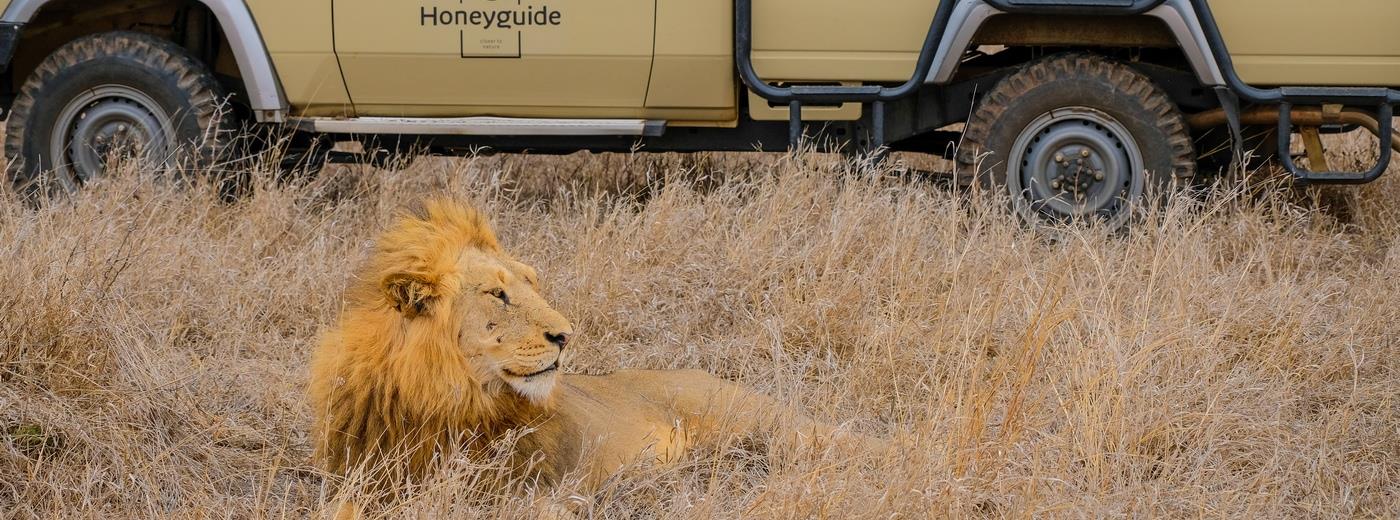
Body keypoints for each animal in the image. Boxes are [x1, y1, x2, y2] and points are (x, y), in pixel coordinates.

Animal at [308, 199, 873, 501]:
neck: (444, 396)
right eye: (497, 293)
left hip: (769, 424)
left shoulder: (534, 490)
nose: (566, 335)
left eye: (531, 282)